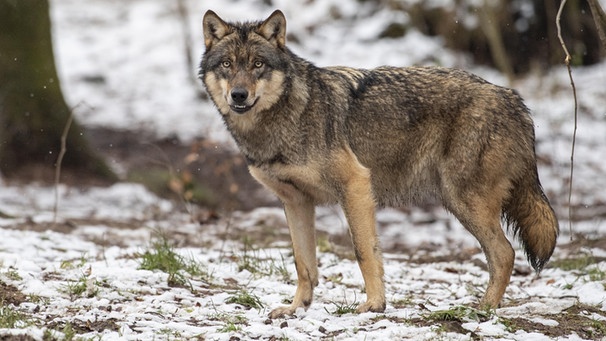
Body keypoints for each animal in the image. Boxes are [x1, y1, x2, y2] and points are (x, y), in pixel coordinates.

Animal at [200, 10, 560, 318]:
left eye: (258, 64)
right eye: (228, 64)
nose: (239, 95)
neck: (287, 115)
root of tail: (515, 99)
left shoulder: (356, 185)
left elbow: (364, 251)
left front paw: (374, 305)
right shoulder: (296, 202)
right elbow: (304, 264)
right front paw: (296, 308)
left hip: (463, 200)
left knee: (505, 253)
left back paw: (482, 309)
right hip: (458, 201)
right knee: (504, 253)